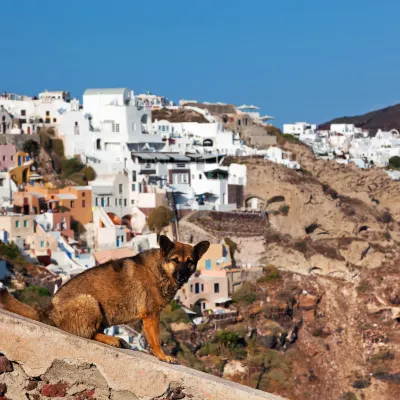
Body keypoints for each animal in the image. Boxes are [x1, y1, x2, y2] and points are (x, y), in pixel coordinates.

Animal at [0, 234, 211, 362]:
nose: (183, 275)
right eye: (175, 260)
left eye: (190, 262)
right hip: (90, 302)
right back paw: (111, 339)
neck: (160, 269)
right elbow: (155, 340)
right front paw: (162, 355)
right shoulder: (151, 316)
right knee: (87, 333)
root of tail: (49, 311)